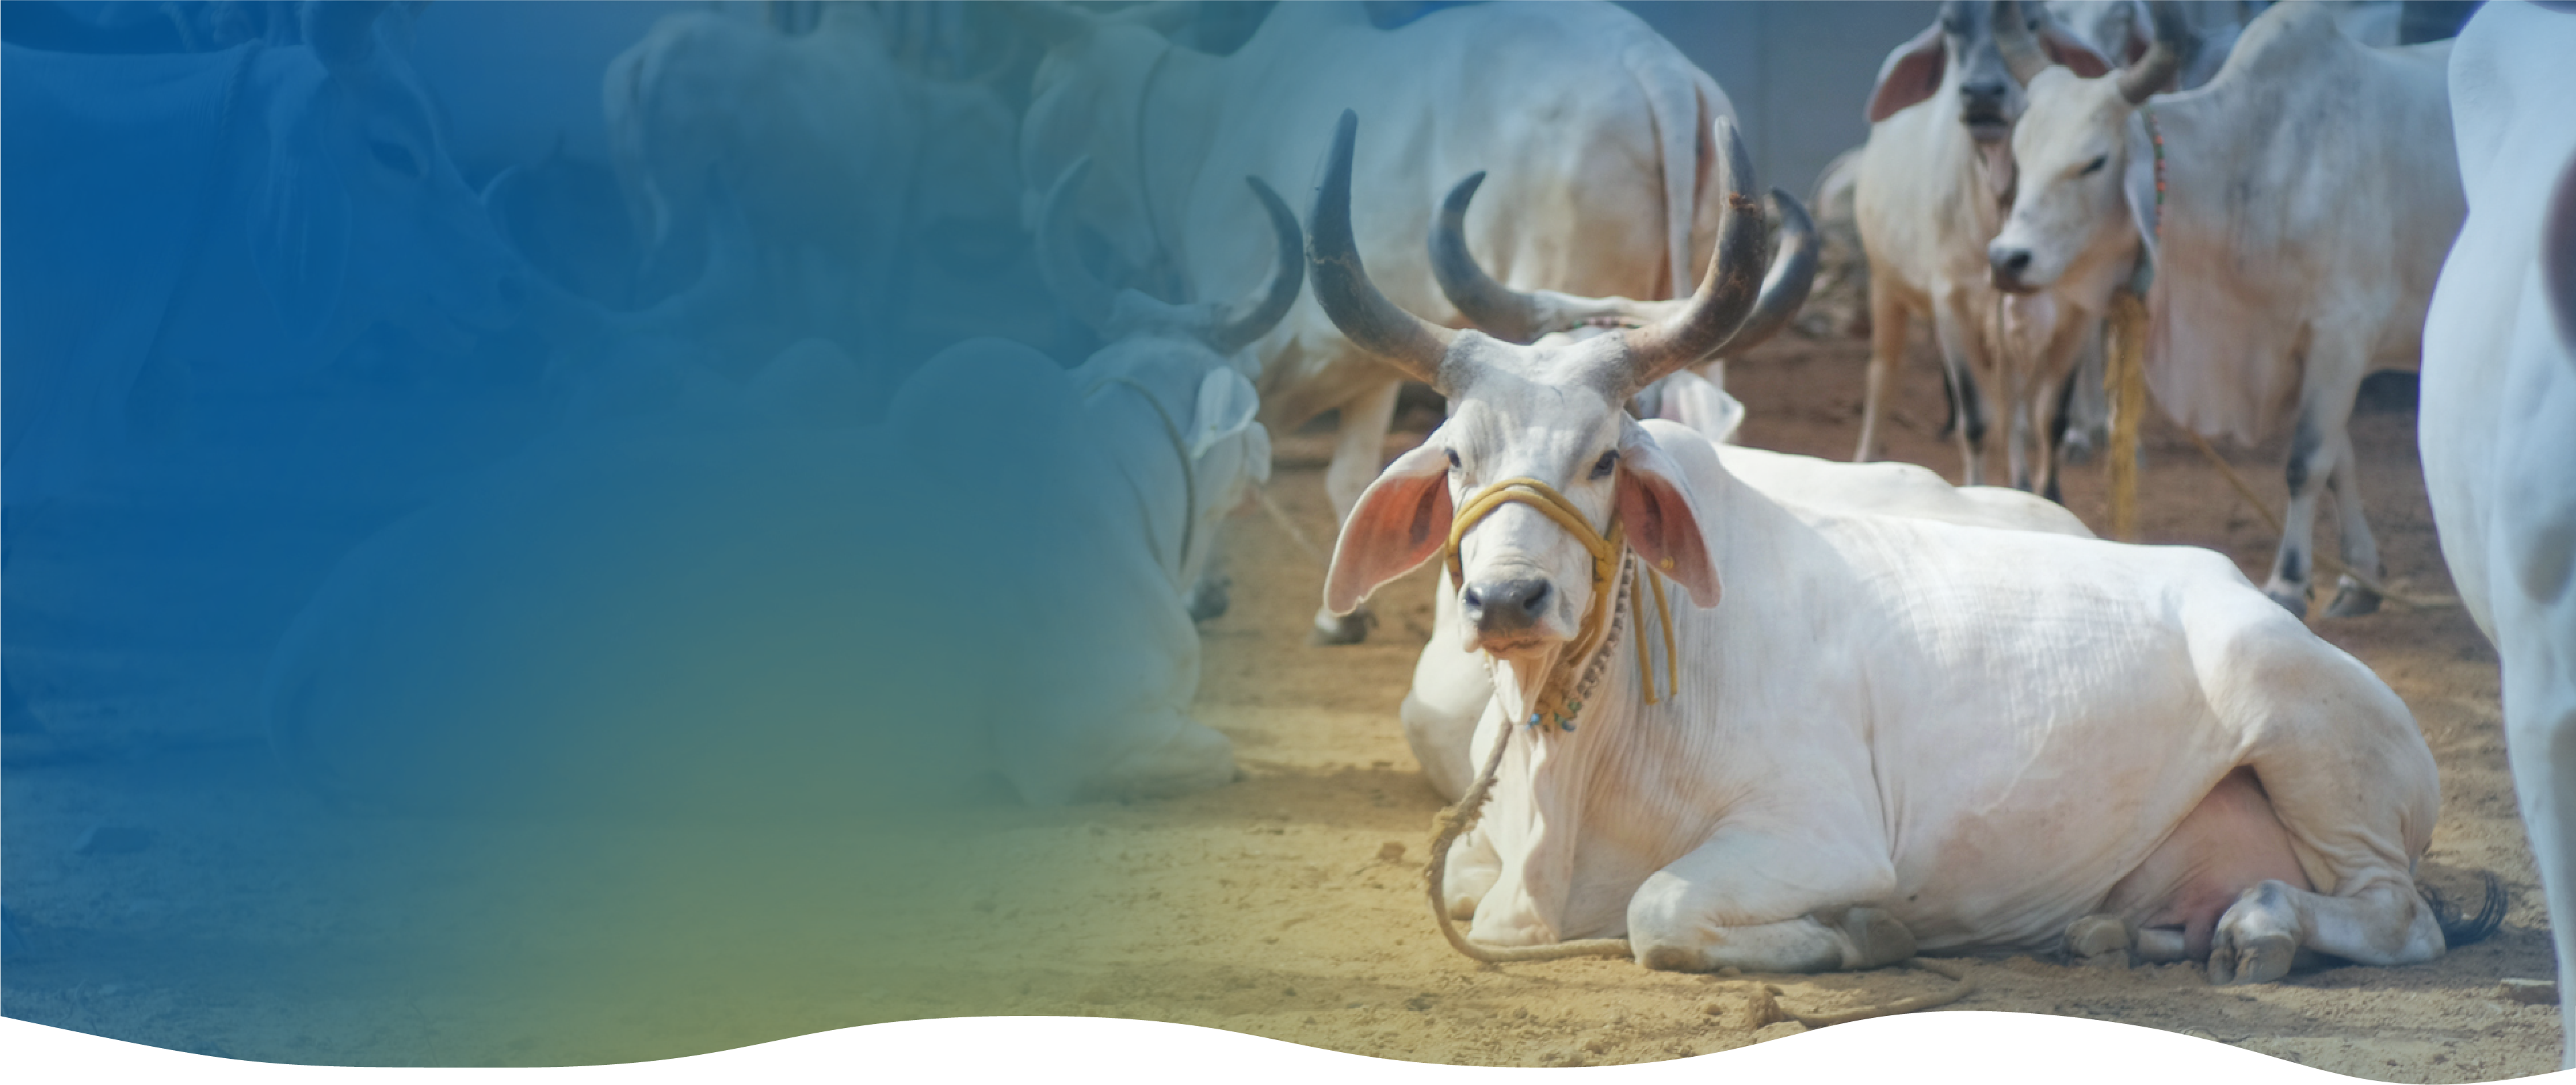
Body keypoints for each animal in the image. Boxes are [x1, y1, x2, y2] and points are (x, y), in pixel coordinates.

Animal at [1003, 0, 1737, 646]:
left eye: (1044, 83)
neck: (1207, 123)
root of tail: (1655, 65)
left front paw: (1197, 592)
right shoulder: (1368, 368)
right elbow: (1350, 473)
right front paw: (1342, 617)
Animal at [1306, 108, 2495, 983]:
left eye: (1604, 456)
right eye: (1455, 455)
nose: (1507, 600)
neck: (1582, 741)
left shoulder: (1822, 833)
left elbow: (1656, 910)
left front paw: (1863, 933)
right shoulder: (1482, 850)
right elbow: (1472, 886)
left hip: (2309, 738)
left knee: (2396, 914)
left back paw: (2261, 925)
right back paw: (2116, 929)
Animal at [1851, 0, 2122, 501]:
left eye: (2035, 23)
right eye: (1949, 25)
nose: (1980, 93)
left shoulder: (2075, 314)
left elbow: (2050, 418)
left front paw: (2047, 497)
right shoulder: (1951, 302)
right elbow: (1975, 420)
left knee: (2014, 405)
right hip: (1885, 285)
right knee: (1883, 374)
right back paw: (1865, 458)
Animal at [1987, 0, 2464, 617]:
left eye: (2093, 163)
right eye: (2020, 154)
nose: (2006, 259)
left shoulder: (2341, 337)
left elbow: (2306, 462)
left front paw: (2288, 581)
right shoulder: (2299, 347)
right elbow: (2339, 461)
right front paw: (2359, 579)